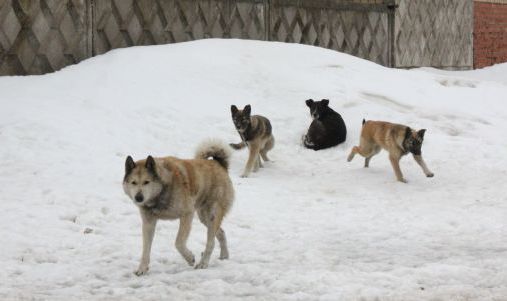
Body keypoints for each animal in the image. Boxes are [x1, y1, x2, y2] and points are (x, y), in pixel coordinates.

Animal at [123, 139, 234, 274]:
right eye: (133, 182)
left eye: (146, 182)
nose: (138, 198)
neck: (161, 192)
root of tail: (219, 164)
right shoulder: (148, 222)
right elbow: (146, 249)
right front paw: (142, 269)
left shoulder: (187, 214)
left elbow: (179, 243)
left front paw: (190, 258)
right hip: (204, 217)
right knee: (221, 233)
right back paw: (224, 255)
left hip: (212, 214)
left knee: (210, 242)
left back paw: (203, 263)